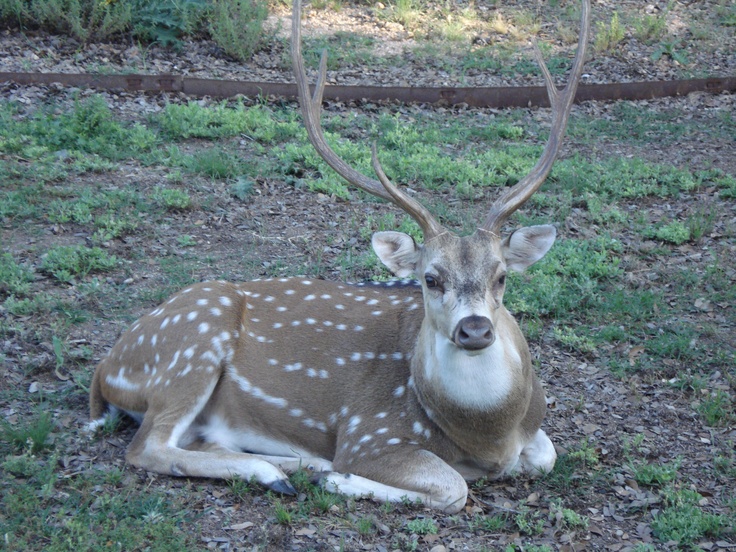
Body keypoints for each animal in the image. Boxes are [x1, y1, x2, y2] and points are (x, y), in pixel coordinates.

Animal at [87, 0, 592, 512]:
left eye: (501, 276)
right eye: (430, 278)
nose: (474, 330)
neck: (492, 436)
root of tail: (105, 369)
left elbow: (546, 455)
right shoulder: (370, 432)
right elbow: (454, 487)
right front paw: (340, 478)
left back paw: (296, 464)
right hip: (192, 344)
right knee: (148, 446)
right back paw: (287, 471)